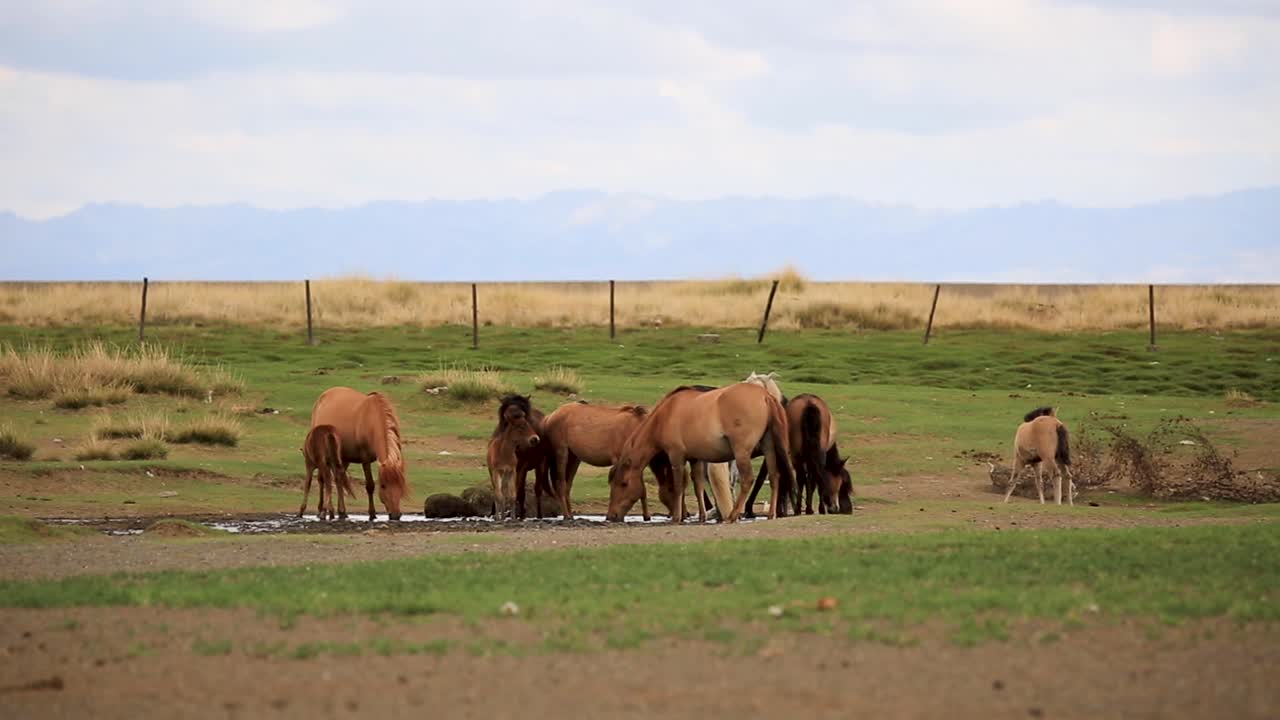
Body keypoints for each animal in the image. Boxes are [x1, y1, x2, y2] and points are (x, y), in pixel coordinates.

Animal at [309, 387, 409, 520]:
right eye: (383, 486)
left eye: (400, 484)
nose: (395, 515)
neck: (372, 419)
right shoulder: (365, 459)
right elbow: (370, 485)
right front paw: (372, 514)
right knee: (323, 480)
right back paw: (322, 511)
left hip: (343, 458)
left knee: (338, 478)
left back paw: (340, 512)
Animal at [606, 382, 794, 523]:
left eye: (623, 484)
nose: (611, 516)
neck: (666, 414)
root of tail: (765, 395)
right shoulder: (695, 459)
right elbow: (698, 486)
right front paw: (702, 516)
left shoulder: (676, 457)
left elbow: (678, 487)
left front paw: (677, 517)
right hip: (769, 449)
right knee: (775, 476)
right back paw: (771, 515)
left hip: (742, 452)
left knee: (747, 480)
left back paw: (733, 515)